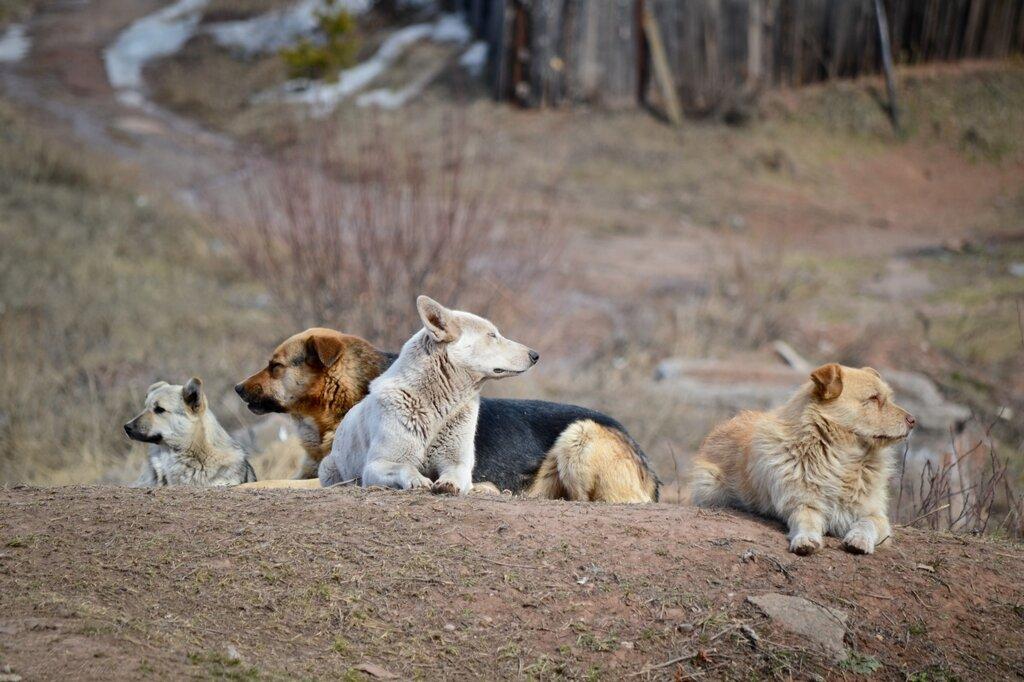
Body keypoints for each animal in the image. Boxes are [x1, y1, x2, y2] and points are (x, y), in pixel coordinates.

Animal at [319, 294, 540, 491]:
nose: (535, 355)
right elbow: (405, 467)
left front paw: (448, 484)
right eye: (492, 335)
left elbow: (456, 473)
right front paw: (418, 480)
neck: (437, 406)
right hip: (327, 467)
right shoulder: (377, 465)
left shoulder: (458, 462)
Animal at [692, 360, 917, 552]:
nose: (913, 420)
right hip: (709, 486)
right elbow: (806, 520)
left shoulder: (876, 515)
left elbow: (867, 523)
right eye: (873, 398)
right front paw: (805, 539)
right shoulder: (802, 504)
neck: (842, 460)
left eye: (888, 398)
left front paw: (859, 539)